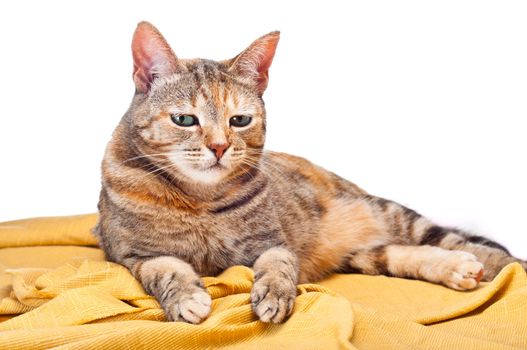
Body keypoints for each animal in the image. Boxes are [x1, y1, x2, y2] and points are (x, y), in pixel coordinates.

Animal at [95, 21, 527, 322]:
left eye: (239, 120)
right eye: (185, 119)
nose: (219, 146)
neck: (199, 201)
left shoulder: (272, 244)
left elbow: (277, 269)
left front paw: (273, 296)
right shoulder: (136, 256)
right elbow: (168, 272)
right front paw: (187, 298)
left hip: (389, 213)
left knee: (470, 247)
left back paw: (494, 266)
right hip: (362, 254)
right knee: (401, 253)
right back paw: (455, 270)